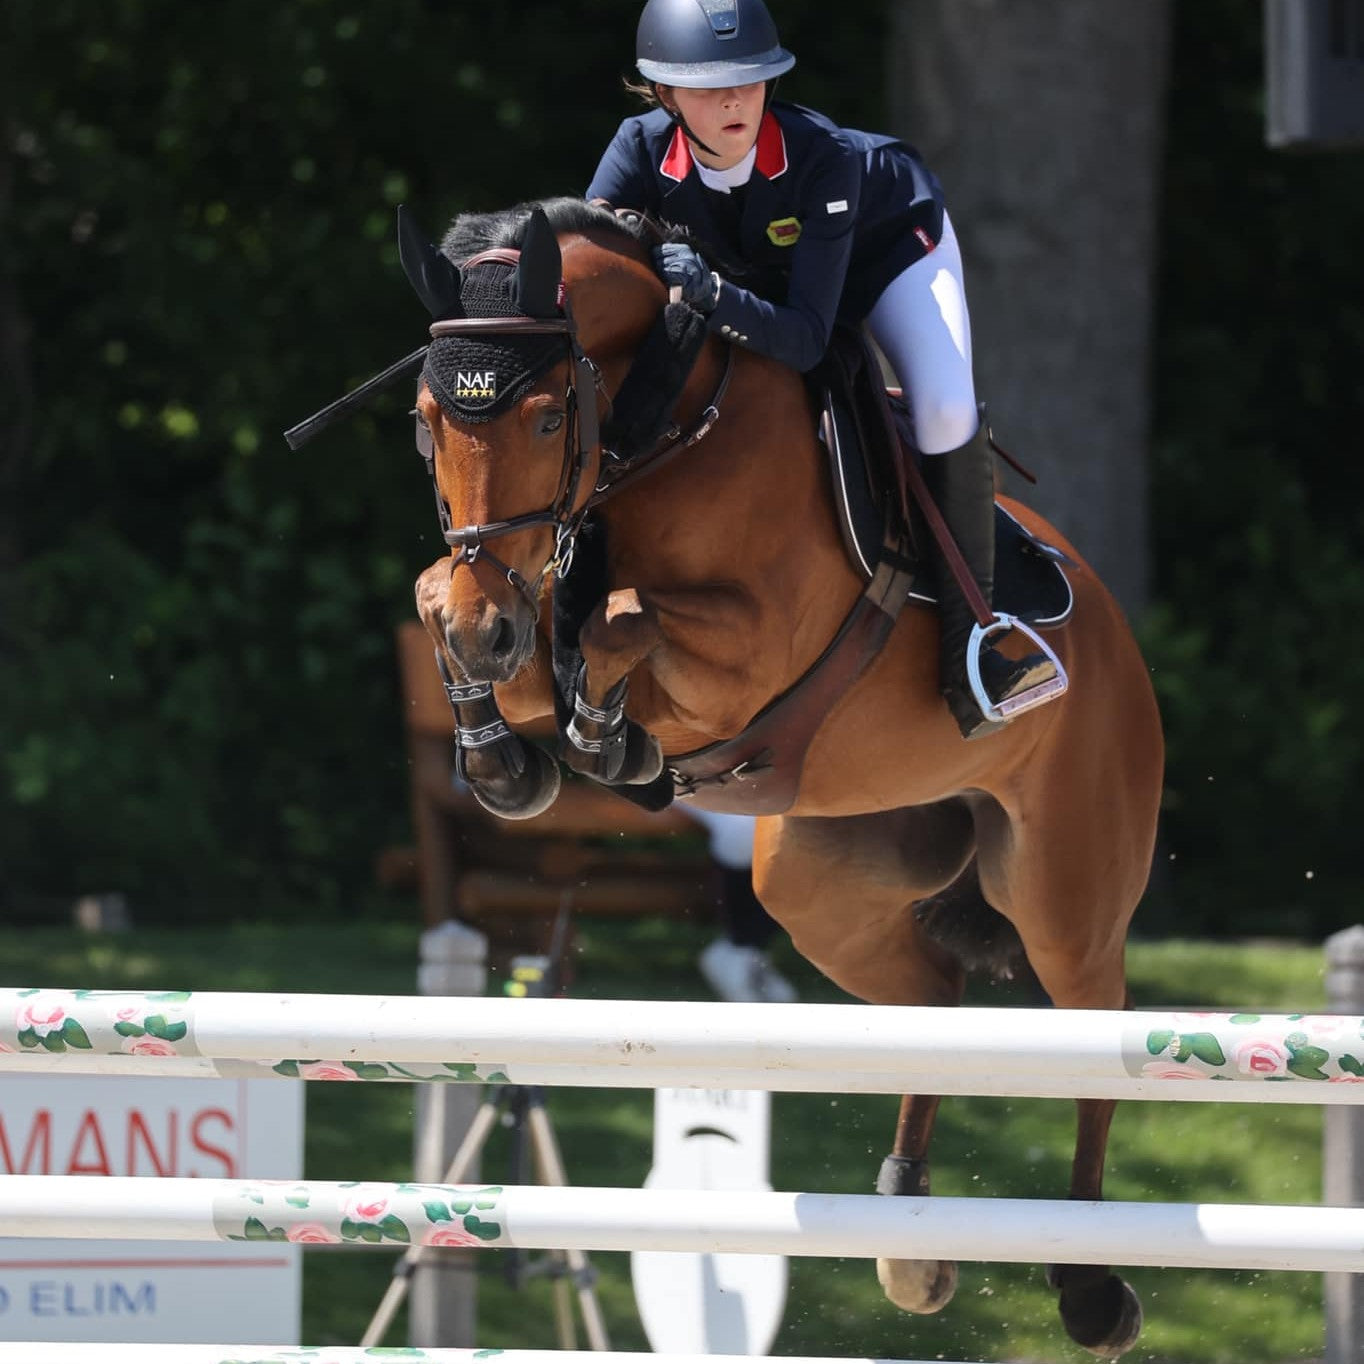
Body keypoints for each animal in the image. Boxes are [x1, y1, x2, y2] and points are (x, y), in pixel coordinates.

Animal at [402, 196, 1163, 1358]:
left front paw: (608, 742)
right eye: (423, 421)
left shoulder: (748, 652)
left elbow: (618, 620)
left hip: (1062, 896)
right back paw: (909, 1233)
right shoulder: (528, 601)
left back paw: (1087, 1285)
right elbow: (442, 592)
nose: (494, 633)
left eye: (541, 418)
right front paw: (506, 757)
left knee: (1093, 1027)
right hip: (821, 888)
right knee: (934, 997)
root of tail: (1123, 651)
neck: (660, 426)